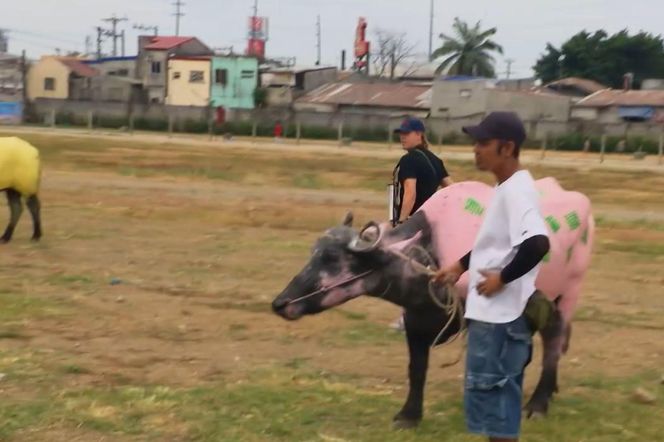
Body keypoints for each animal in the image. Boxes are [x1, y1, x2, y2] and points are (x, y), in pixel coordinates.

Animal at [272, 178, 592, 430]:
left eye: (332, 259)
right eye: (313, 253)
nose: (280, 303)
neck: (432, 254)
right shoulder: (415, 321)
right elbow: (417, 369)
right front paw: (409, 416)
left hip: (568, 294)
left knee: (553, 343)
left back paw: (538, 403)